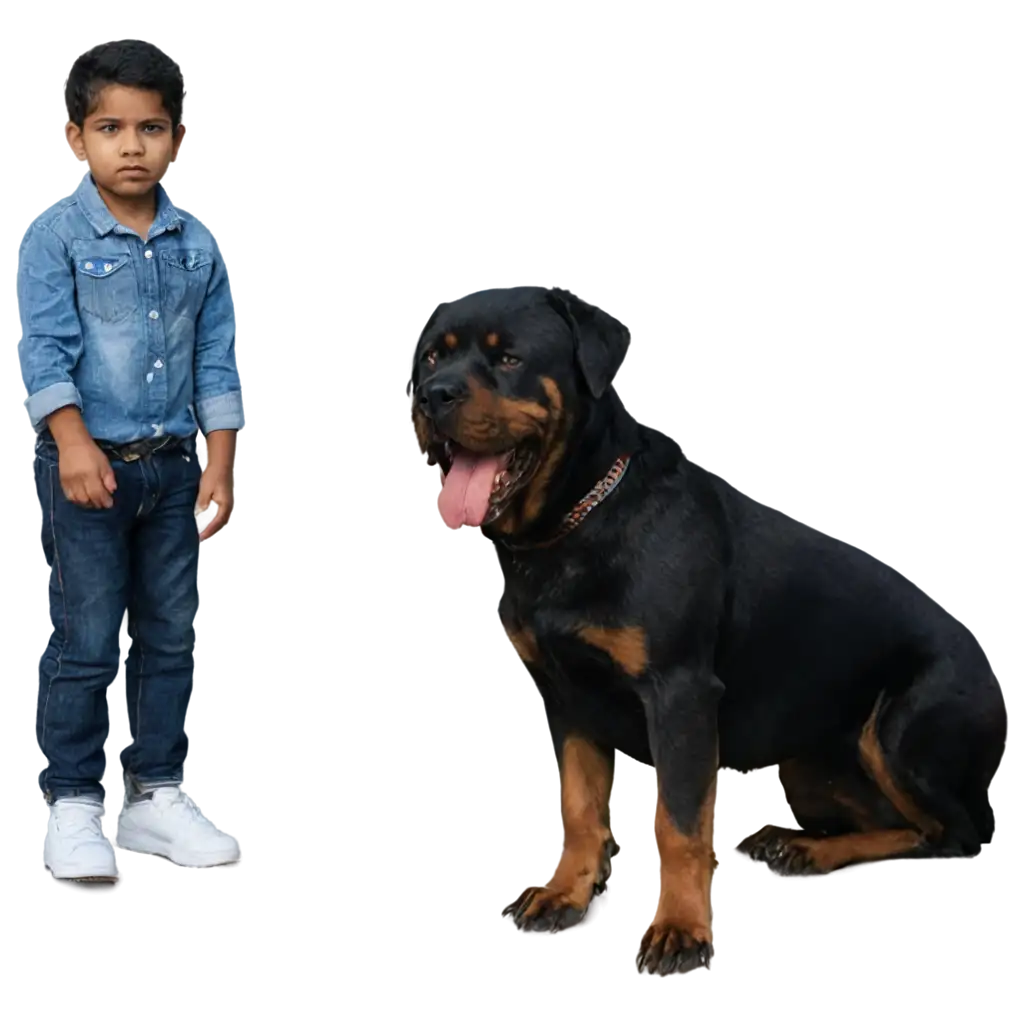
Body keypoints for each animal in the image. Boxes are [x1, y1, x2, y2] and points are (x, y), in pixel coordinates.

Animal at [399, 280, 1024, 974]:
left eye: (508, 358)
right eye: (432, 357)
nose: (433, 396)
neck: (574, 524)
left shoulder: (681, 694)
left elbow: (678, 823)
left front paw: (679, 926)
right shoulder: (561, 695)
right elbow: (578, 806)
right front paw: (568, 887)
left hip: (896, 733)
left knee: (951, 834)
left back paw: (819, 850)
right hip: (807, 759)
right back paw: (795, 839)